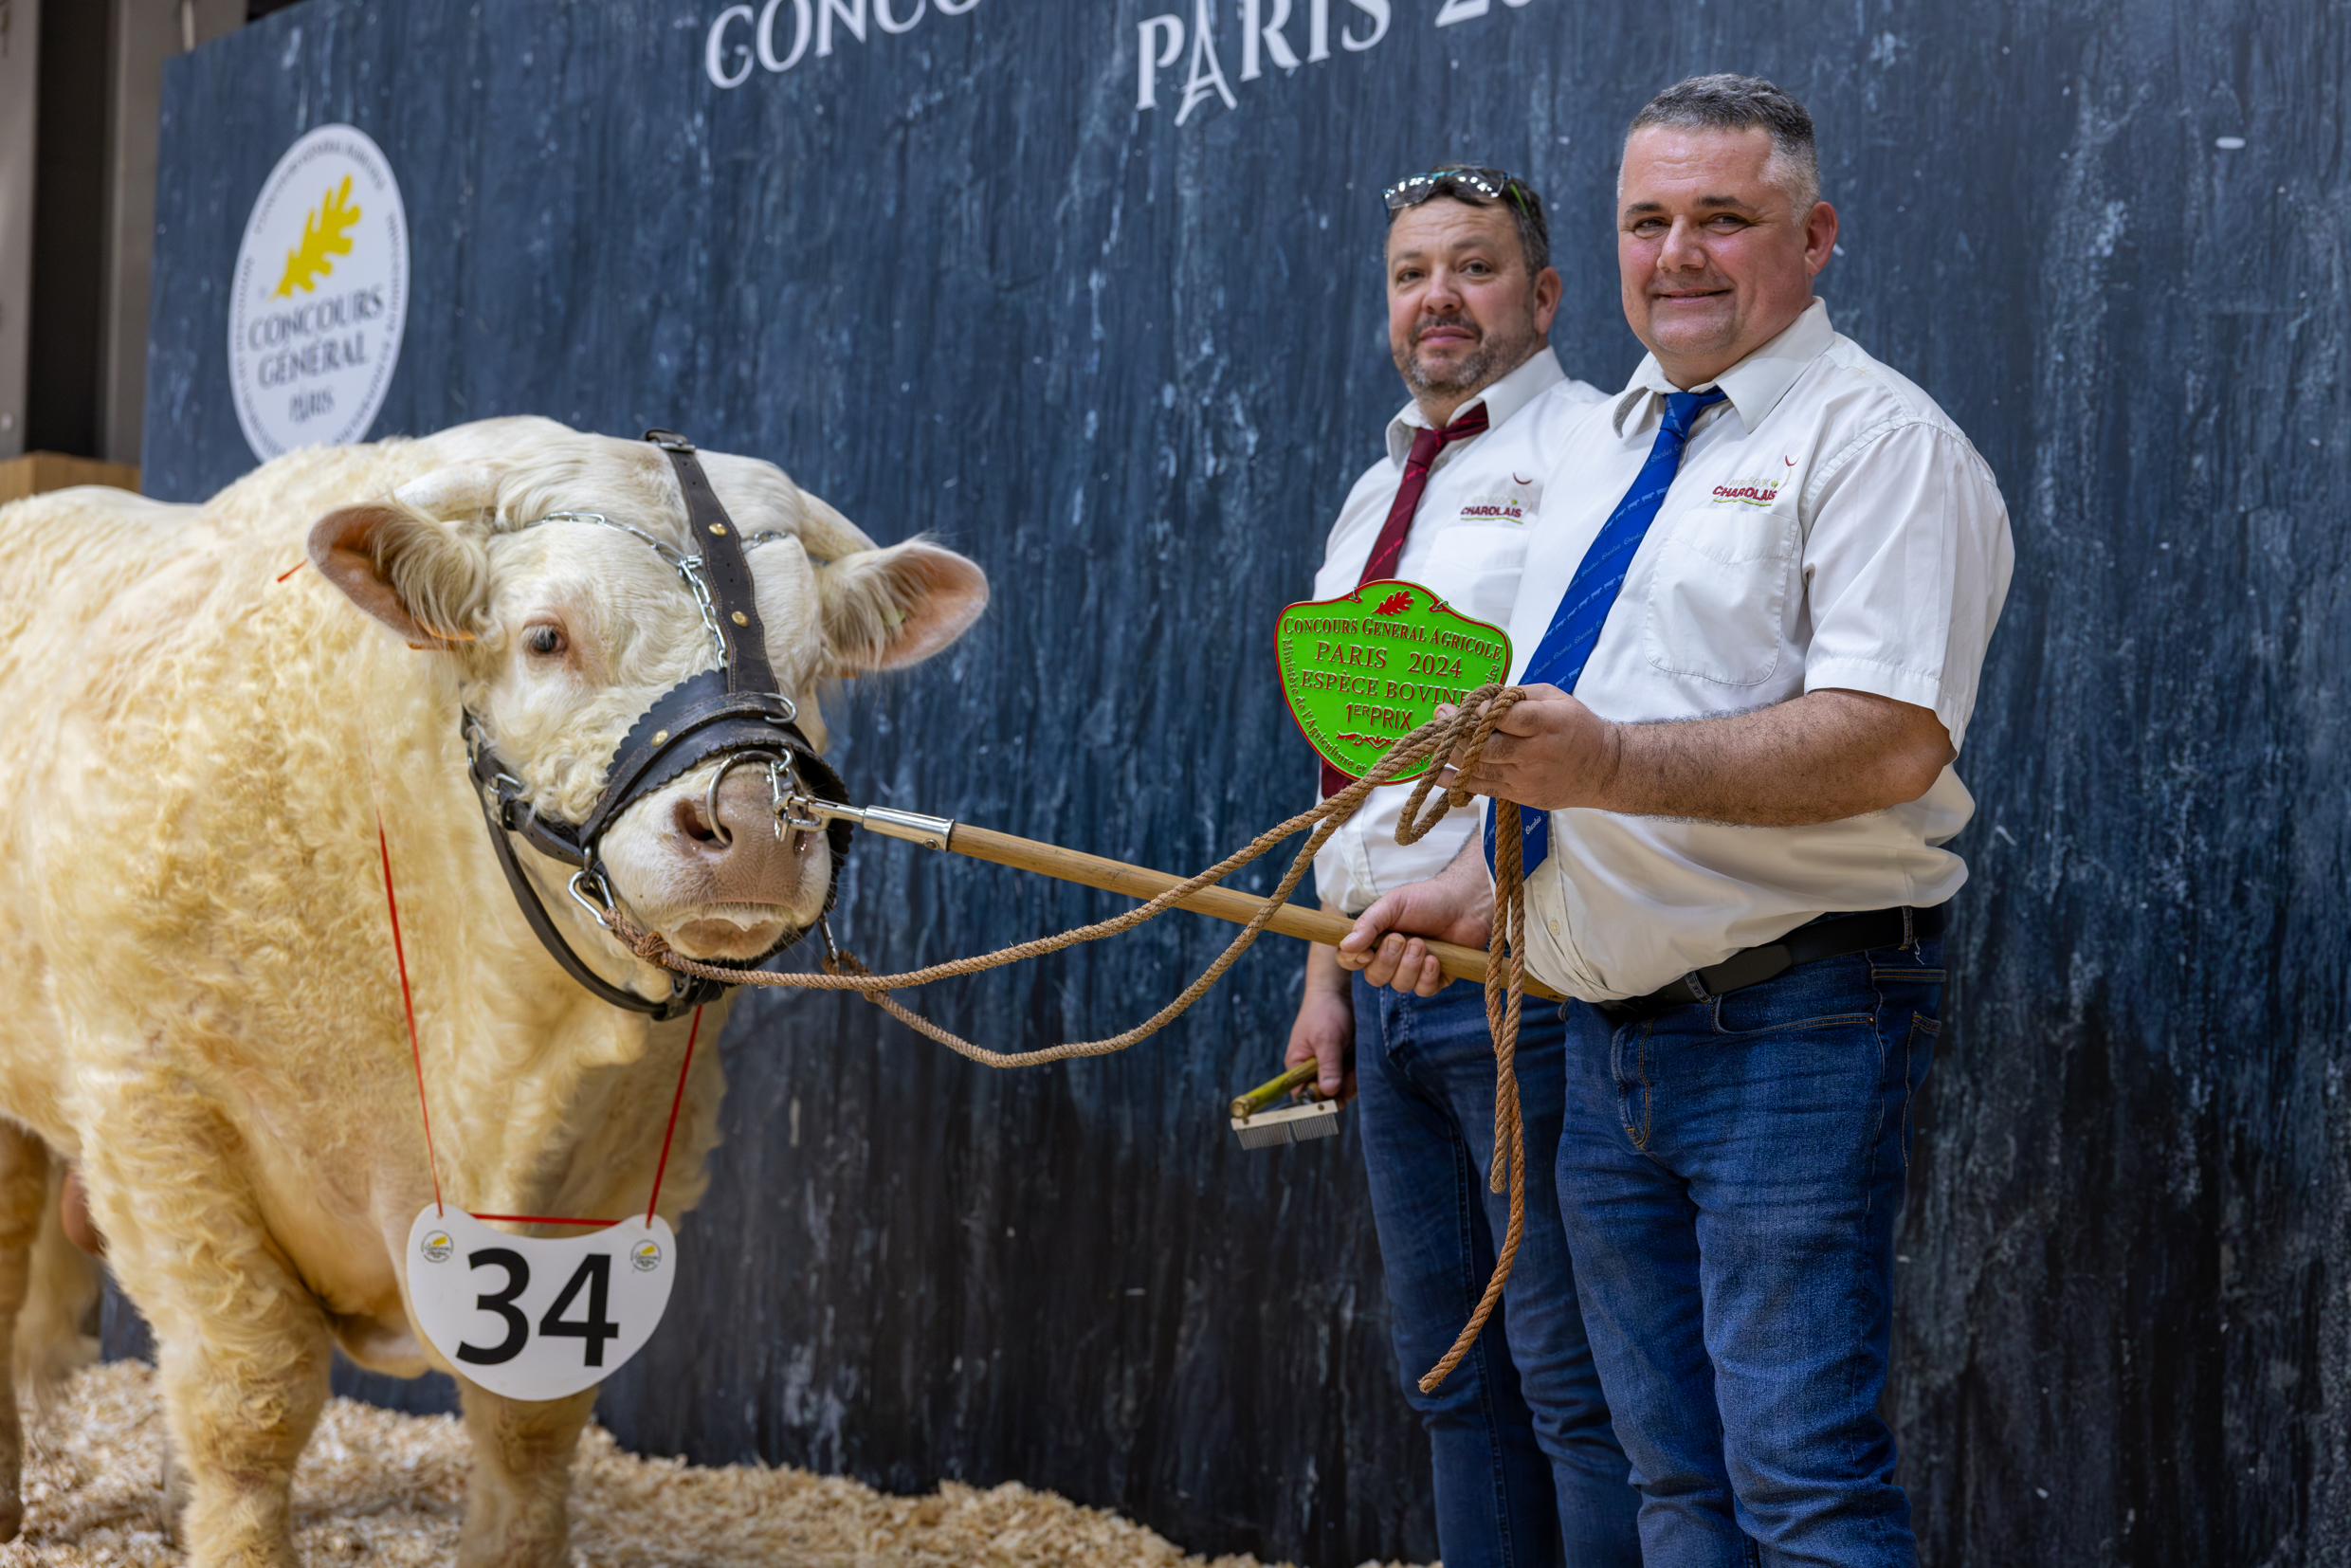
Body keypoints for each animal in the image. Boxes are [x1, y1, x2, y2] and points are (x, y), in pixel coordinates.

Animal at [0, 420, 987, 1568]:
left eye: (816, 661)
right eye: (546, 638)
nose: (749, 820)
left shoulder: (623, 1148)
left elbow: (530, 1418)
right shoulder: (156, 1109)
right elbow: (251, 1395)